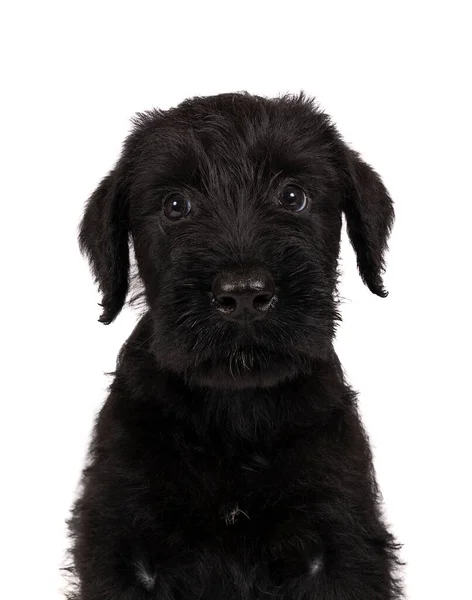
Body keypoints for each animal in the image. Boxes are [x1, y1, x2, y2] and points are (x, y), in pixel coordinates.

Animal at [68, 91, 402, 596]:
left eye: (292, 196)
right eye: (176, 204)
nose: (244, 294)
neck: (235, 412)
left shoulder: (339, 542)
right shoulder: (124, 546)